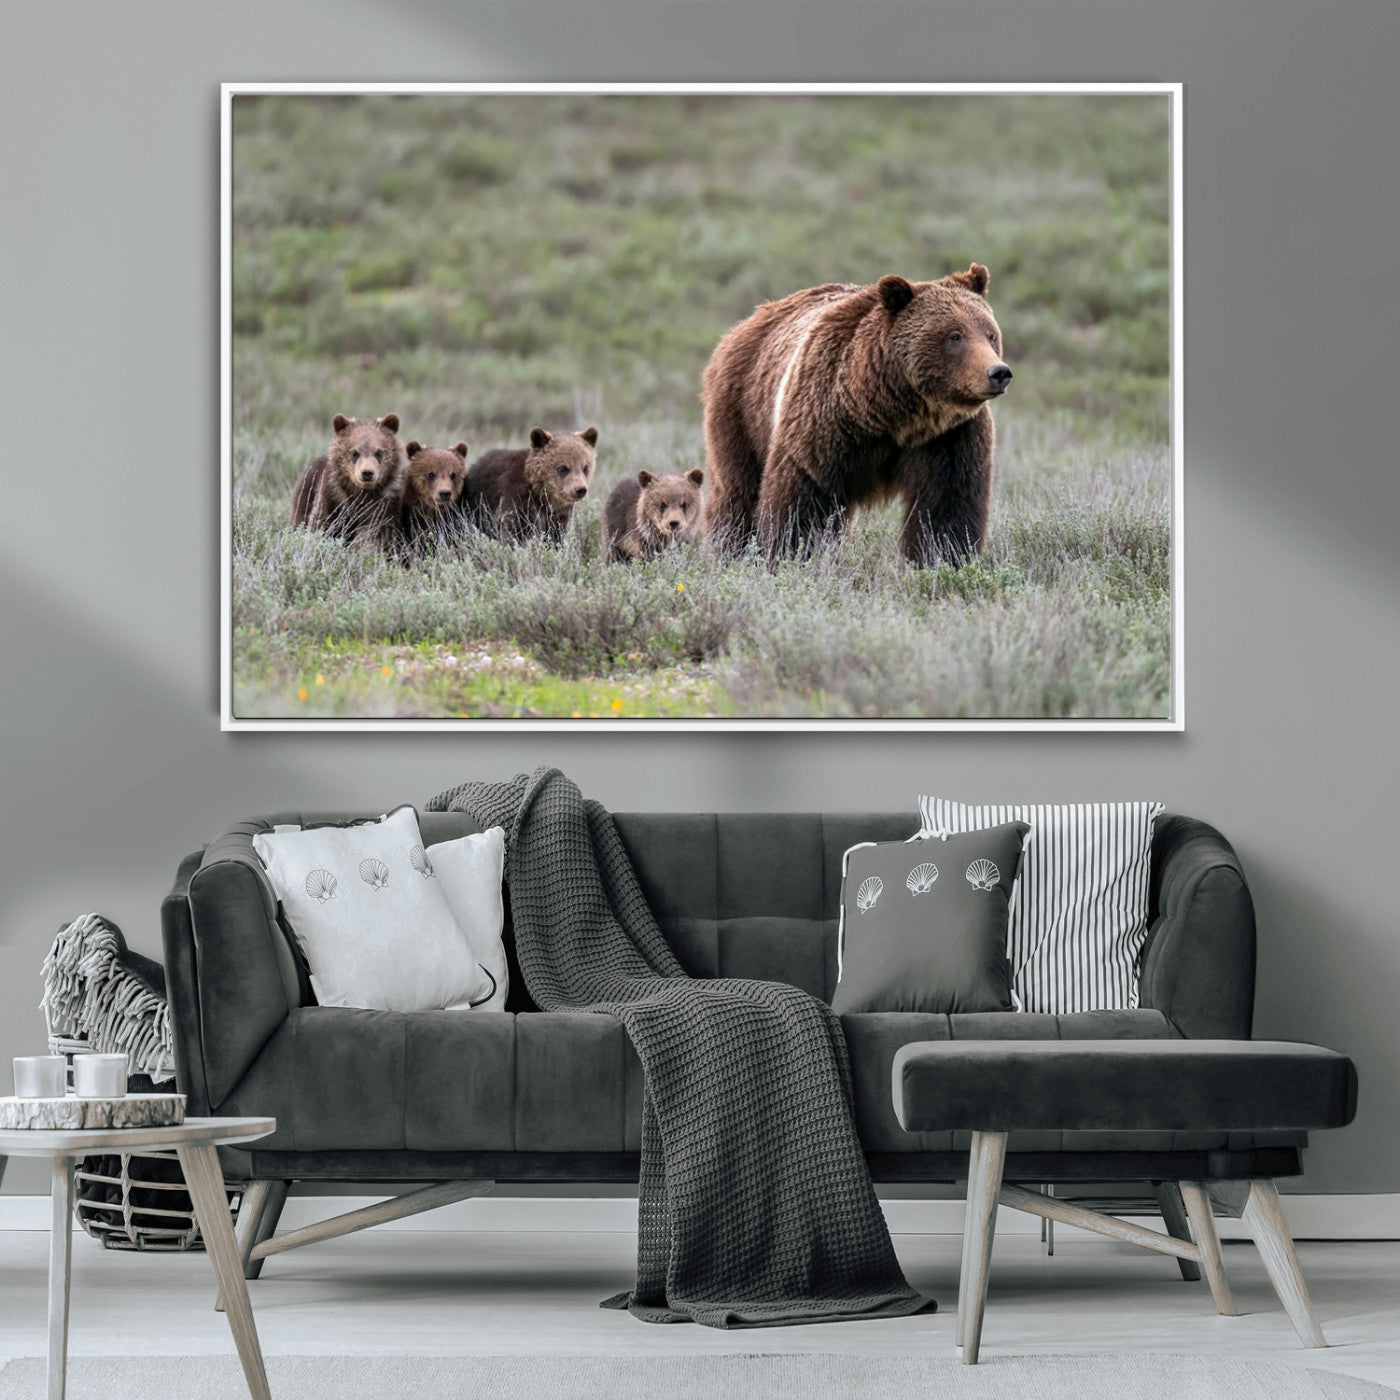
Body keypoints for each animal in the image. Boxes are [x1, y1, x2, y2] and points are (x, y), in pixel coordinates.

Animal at [290, 413, 407, 551]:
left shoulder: (383, 503)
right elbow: (322, 523)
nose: (367, 473)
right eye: (354, 453)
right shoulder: (333, 497)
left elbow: (373, 532)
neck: (360, 492)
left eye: (379, 452)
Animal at [462, 426, 598, 544]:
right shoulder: (517, 501)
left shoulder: (558, 515)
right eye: (563, 468)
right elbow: (515, 532)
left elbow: (555, 535)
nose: (580, 489)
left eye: (585, 468)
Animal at [700, 266, 1011, 564]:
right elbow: (803, 500)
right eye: (955, 336)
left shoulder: (948, 436)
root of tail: (747, 322)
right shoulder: (824, 423)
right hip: (743, 409)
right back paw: (730, 549)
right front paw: (790, 556)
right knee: (737, 490)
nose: (998, 372)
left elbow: (947, 507)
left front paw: (942, 560)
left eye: (990, 334)